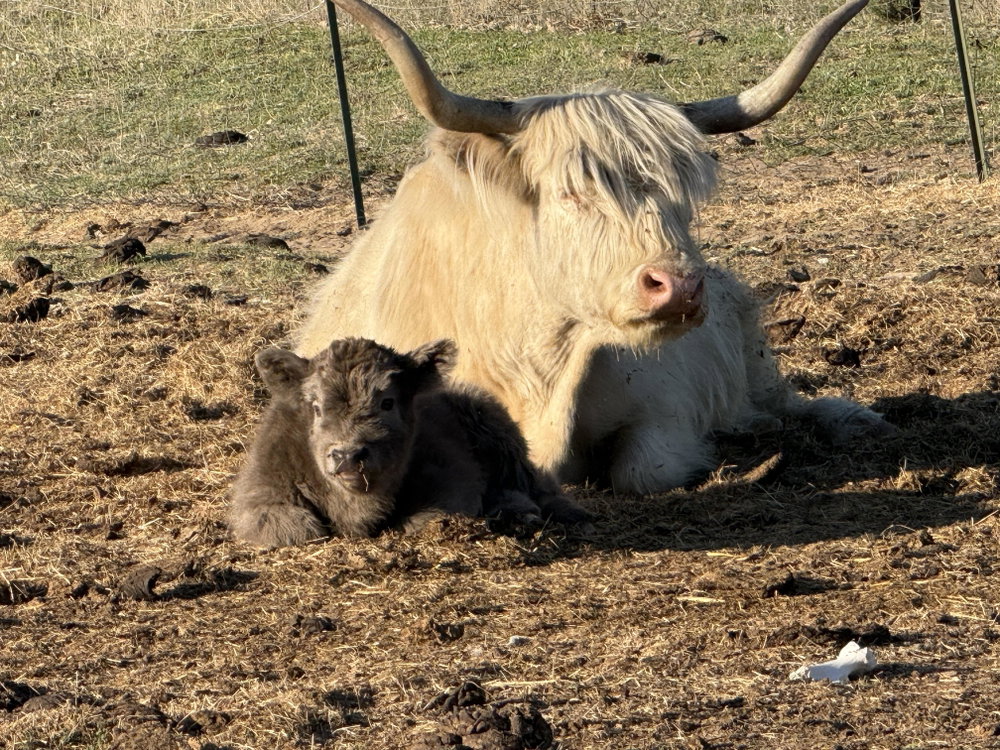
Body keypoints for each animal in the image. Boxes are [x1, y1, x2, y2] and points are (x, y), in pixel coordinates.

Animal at [230, 337, 587, 547]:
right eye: (316, 407)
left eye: (387, 402)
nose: (347, 455)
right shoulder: (258, 492)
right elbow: (297, 528)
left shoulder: (453, 478)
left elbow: (425, 518)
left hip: (496, 429)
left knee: (535, 484)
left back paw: (523, 510)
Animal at [296, 0, 890, 494]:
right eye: (570, 192)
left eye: (685, 196)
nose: (678, 286)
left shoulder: (664, 406)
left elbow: (643, 470)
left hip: (755, 357)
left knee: (783, 400)